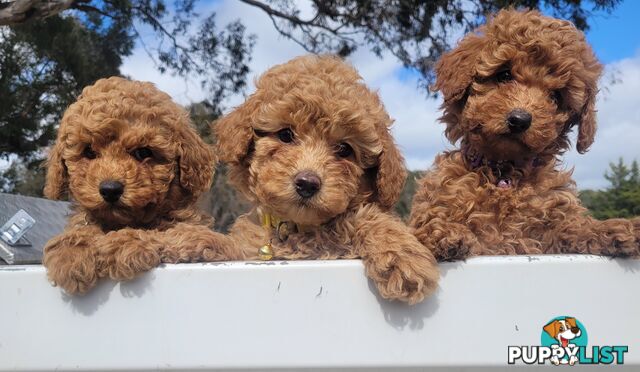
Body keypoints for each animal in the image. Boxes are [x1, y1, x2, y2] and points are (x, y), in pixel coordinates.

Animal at [42, 77, 242, 294]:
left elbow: (168, 234)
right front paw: (71, 255)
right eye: (88, 151)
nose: (110, 190)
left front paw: (124, 243)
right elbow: (82, 228)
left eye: (143, 152)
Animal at [215, 55, 440, 306]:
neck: (300, 229)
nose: (307, 183)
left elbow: (365, 217)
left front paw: (402, 258)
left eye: (344, 149)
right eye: (285, 135)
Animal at [410, 8, 640, 260]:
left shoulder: (546, 230)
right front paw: (445, 231)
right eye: (504, 75)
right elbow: (426, 226)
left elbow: (573, 227)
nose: (520, 120)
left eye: (556, 97)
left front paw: (618, 227)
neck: (504, 173)